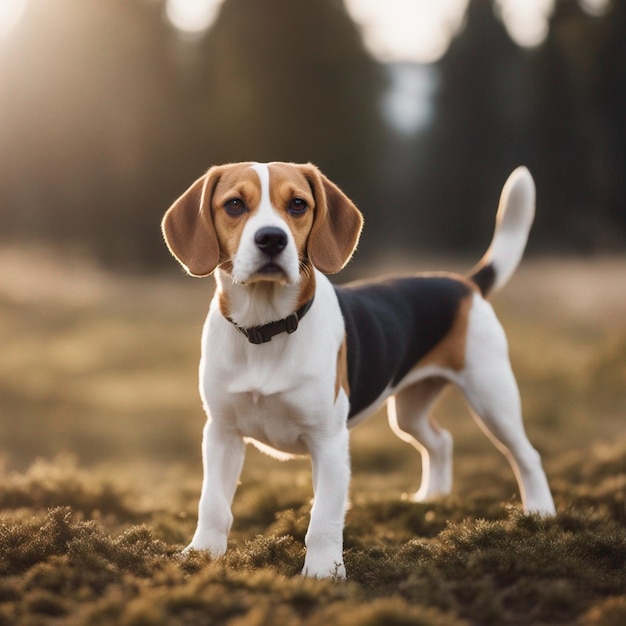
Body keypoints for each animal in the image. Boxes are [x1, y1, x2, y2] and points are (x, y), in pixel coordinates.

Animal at [160, 161, 552, 576]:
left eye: (298, 204)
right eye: (234, 204)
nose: (271, 239)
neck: (265, 329)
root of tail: (464, 284)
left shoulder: (329, 442)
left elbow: (324, 518)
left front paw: (322, 573)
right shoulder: (222, 433)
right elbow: (212, 504)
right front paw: (201, 554)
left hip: (492, 396)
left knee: (526, 455)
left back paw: (540, 513)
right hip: (409, 412)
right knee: (441, 441)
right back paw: (432, 499)